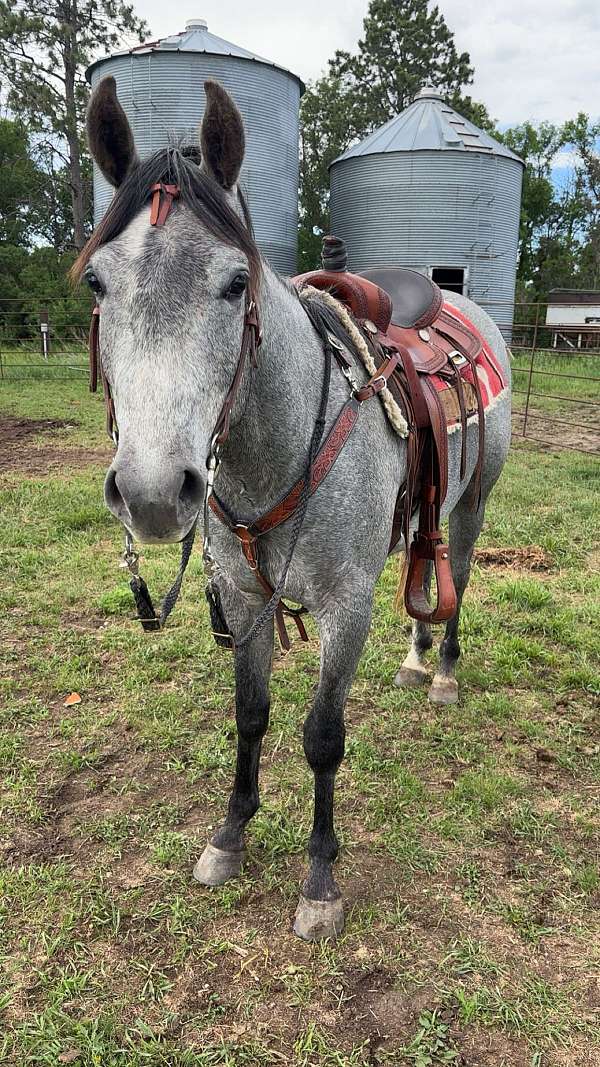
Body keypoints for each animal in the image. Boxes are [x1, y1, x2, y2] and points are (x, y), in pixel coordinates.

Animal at [74, 77, 512, 940]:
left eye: (235, 282)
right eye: (98, 282)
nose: (151, 492)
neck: (278, 447)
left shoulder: (347, 604)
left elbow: (321, 736)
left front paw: (319, 877)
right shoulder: (244, 598)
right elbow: (250, 714)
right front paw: (230, 834)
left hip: (473, 503)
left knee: (459, 576)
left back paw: (443, 670)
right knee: (425, 570)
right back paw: (416, 659)